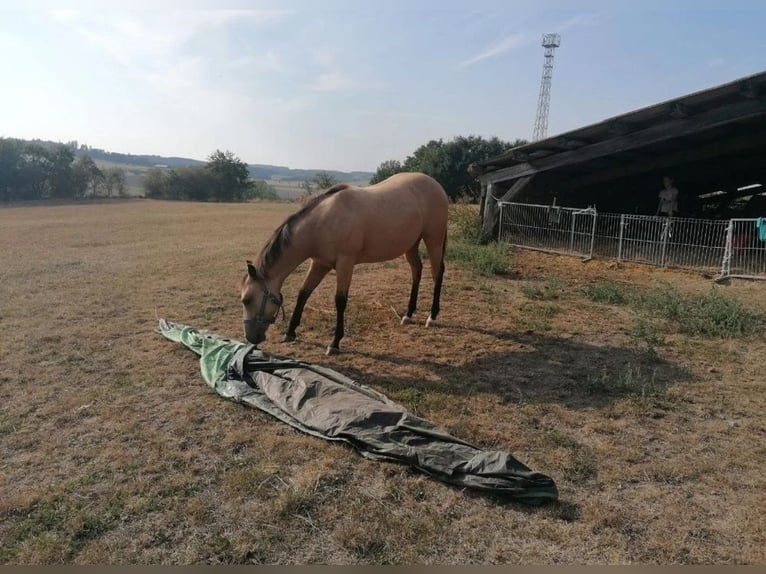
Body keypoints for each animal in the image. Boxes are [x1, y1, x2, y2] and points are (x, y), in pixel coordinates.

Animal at [242, 172, 450, 356]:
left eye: (247, 300)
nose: (251, 338)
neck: (322, 222)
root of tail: (435, 184)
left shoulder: (345, 263)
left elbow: (340, 300)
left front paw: (334, 343)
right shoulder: (319, 264)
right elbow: (303, 293)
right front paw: (290, 332)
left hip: (433, 239)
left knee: (437, 272)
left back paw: (432, 317)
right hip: (411, 244)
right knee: (417, 270)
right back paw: (408, 314)